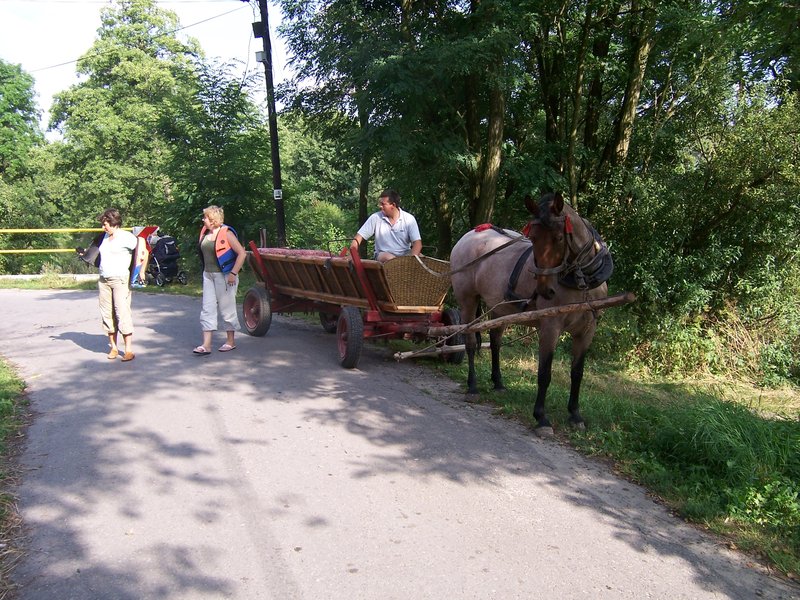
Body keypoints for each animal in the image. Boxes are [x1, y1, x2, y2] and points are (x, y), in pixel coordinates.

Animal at [450, 192, 612, 436]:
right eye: (533, 238)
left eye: (559, 238)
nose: (546, 290)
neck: (580, 281)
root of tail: (470, 234)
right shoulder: (550, 327)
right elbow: (544, 373)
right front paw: (541, 418)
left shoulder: (587, 330)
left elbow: (577, 373)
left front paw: (575, 415)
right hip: (468, 302)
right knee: (469, 342)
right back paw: (473, 387)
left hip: (502, 308)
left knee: (495, 341)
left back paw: (498, 383)